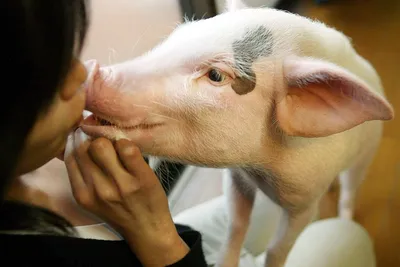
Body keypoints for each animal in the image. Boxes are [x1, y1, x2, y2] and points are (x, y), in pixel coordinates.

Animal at [80, 0, 394, 267]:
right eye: (179, 34)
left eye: (216, 76)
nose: (92, 70)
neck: (262, 171)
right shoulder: (236, 176)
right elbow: (236, 224)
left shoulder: (303, 204)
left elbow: (278, 248)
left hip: (366, 153)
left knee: (350, 190)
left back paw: (346, 218)